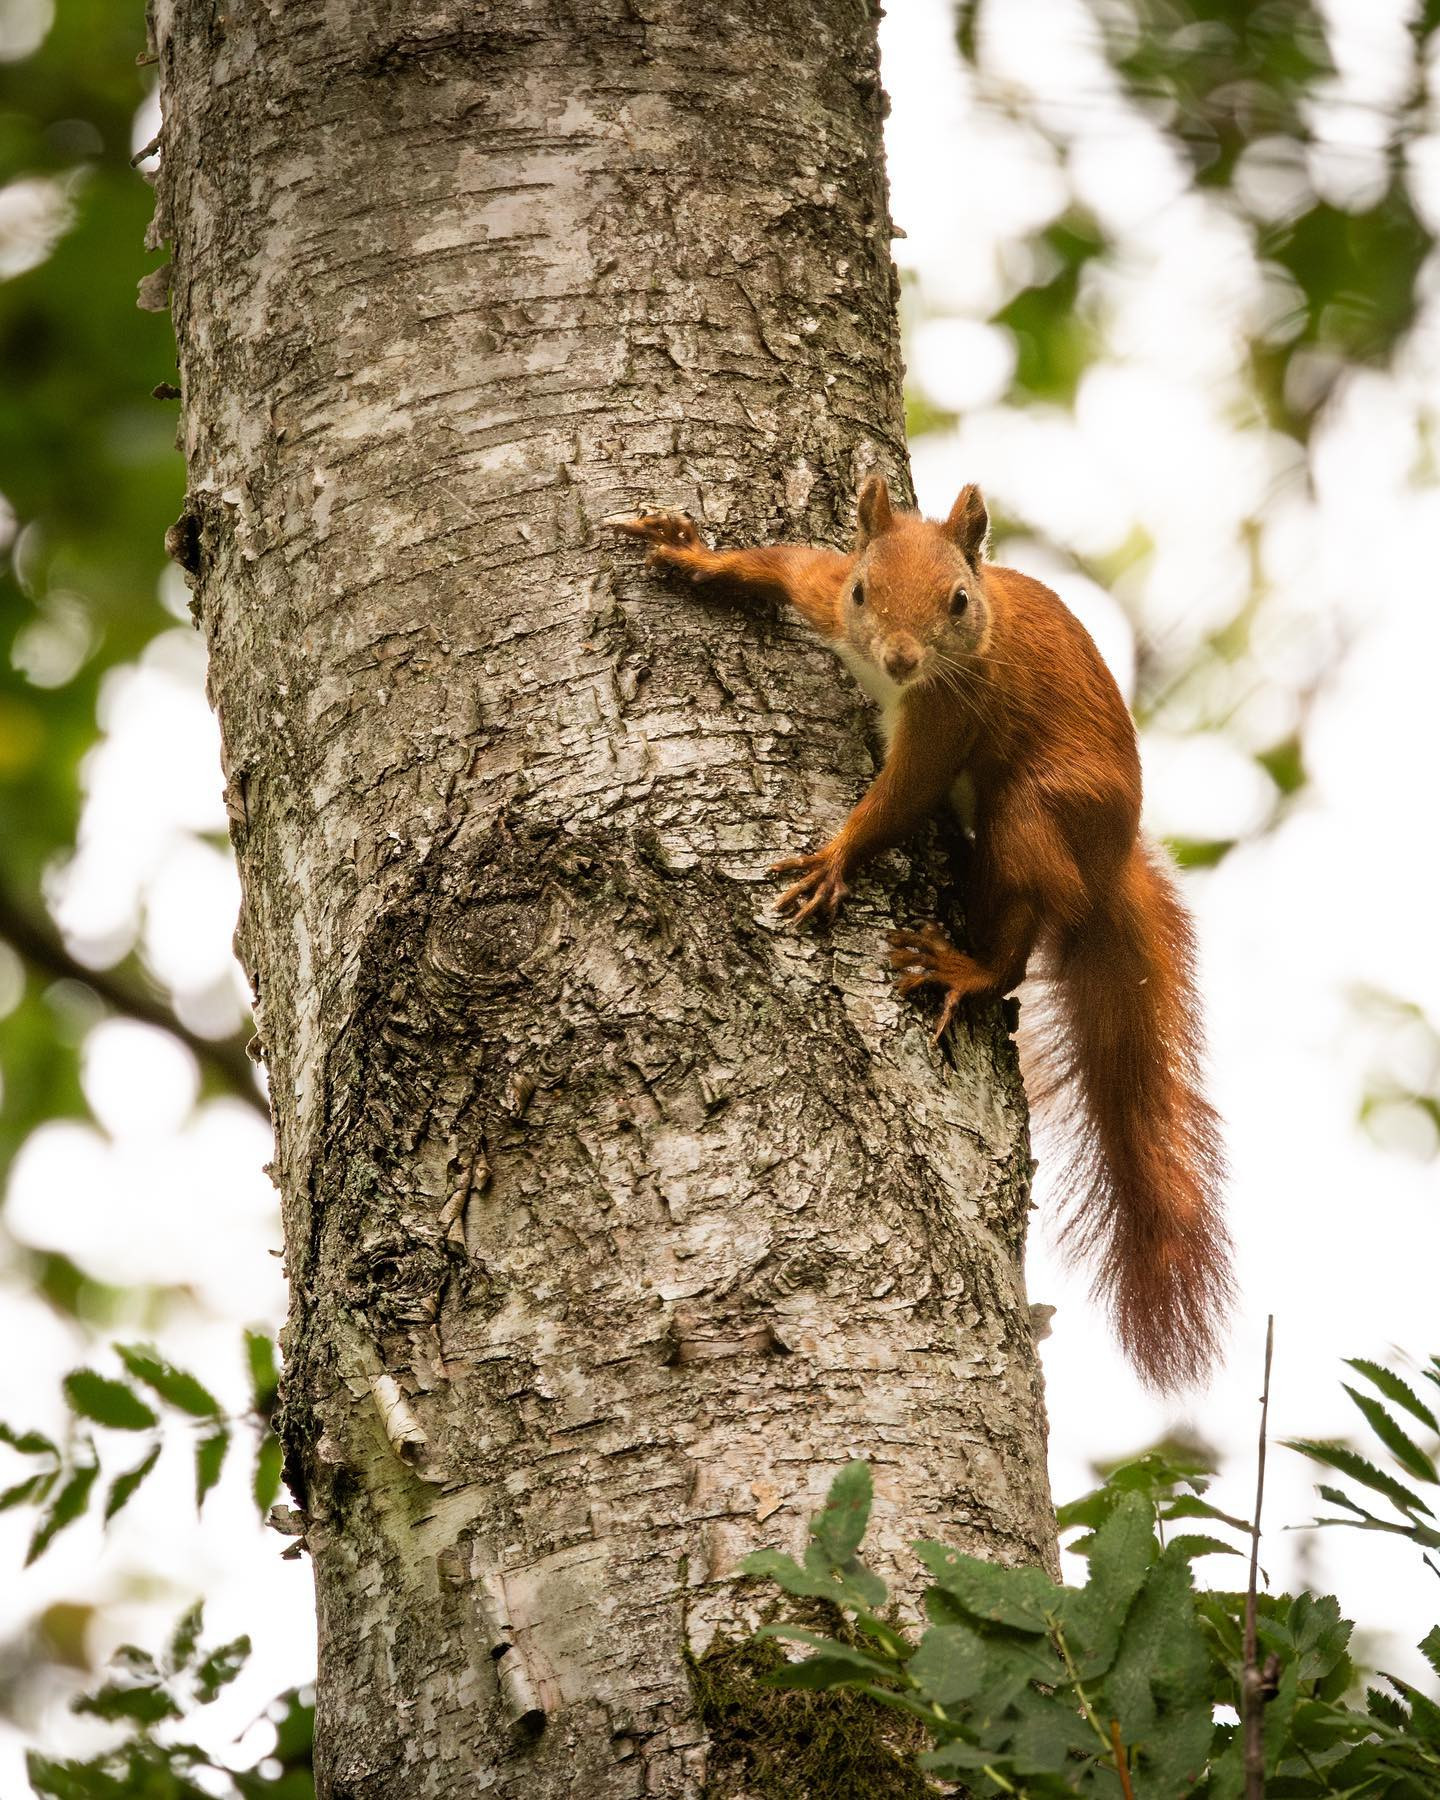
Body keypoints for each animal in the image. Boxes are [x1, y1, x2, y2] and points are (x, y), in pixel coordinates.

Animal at [606, 476, 1233, 1391]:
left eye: (959, 601)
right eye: (868, 590)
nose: (902, 659)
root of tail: (1112, 858)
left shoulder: (949, 712)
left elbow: (901, 799)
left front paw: (835, 857)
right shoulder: (827, 595)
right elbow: (789, 564)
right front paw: (696, 557)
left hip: (1035, 815)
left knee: (1021, 927)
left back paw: (969, 969)